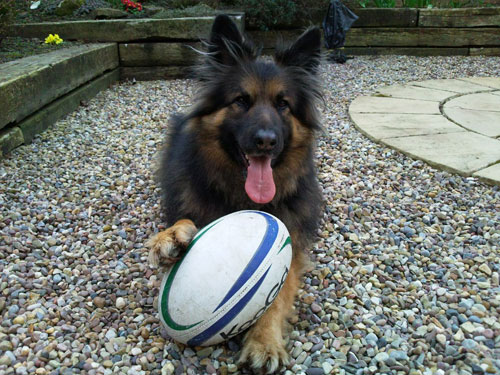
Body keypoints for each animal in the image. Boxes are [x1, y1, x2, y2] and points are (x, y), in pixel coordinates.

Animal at [146, 14, 322, 375]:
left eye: (283, 104)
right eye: (241, 100)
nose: (266, 141)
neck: (242, 196)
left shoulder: (291, 242)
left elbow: (276, 295)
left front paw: (264, 341)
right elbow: (183, 218)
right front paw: (169, 238)